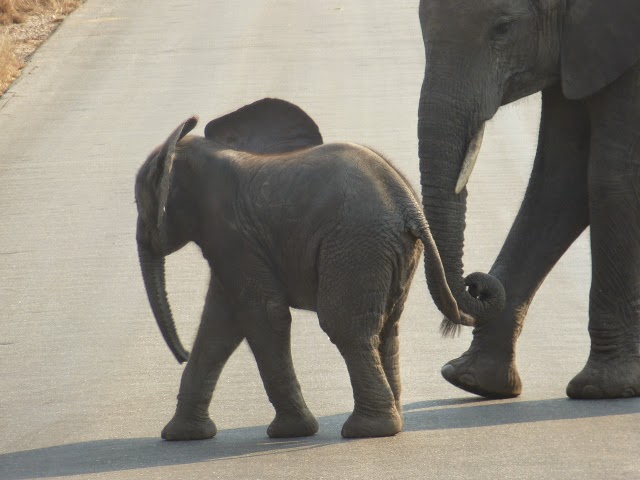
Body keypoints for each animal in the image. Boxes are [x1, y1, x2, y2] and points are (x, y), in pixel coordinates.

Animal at [135, 98, 467, 440]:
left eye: (138, 203)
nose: (181, 355)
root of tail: (408, 205)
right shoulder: (234, 245)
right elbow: (220, 324)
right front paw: (181, 435)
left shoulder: (230, 235)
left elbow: (262, 314)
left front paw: (289, 432)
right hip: (390, 250)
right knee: (388, 328)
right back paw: (392, 425)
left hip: (356, 245)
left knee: (344, 327)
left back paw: (367, 430)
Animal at [417, 0, 640, 399]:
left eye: (503, 28)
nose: (476, 283)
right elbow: (560, 180)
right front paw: (470, 379)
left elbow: (614, 176)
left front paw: (603, 389)